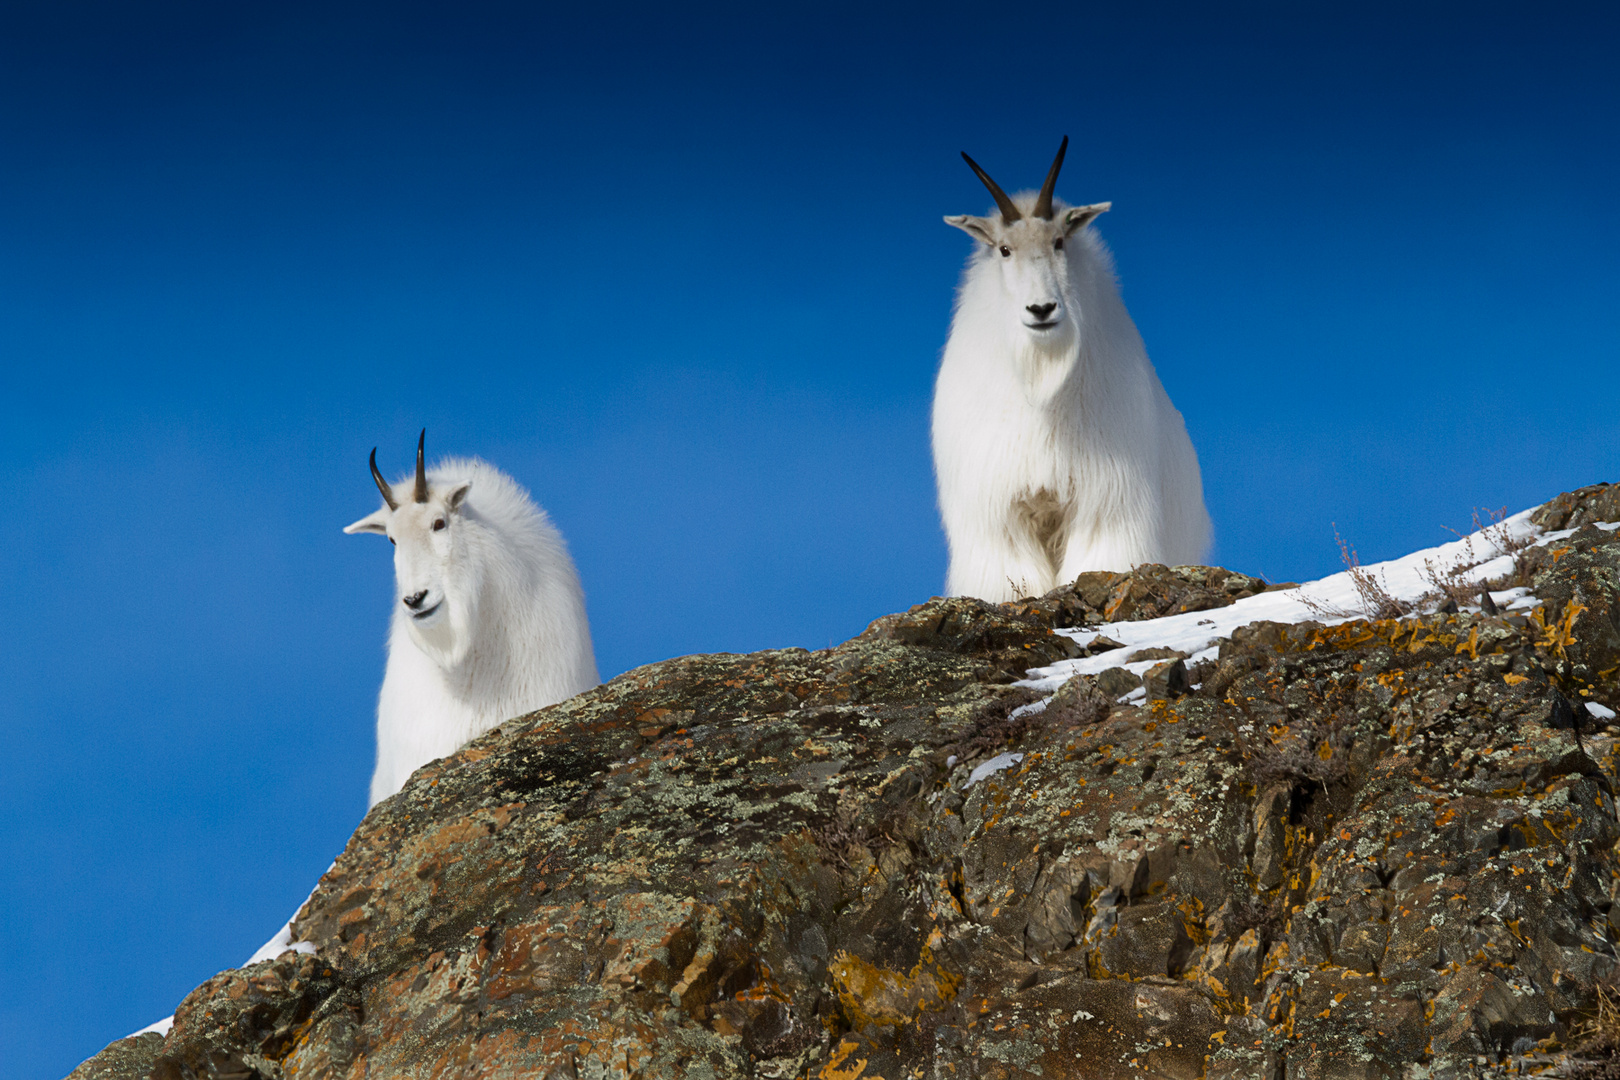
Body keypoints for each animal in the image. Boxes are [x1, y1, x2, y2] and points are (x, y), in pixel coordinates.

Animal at [933, 136, 1211, 605]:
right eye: (1004, 249)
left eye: (1060, 241)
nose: (1042, 309)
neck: (1041, 382)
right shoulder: (1003, 514)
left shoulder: (1104, 503)